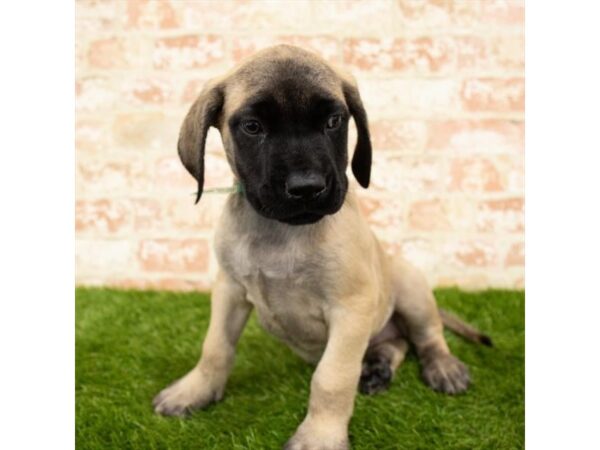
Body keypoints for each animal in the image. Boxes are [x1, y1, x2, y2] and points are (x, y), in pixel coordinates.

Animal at [152, 43, 490, 450]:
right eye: (253, 127)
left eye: (333, 122)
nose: (307, 187)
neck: (281, 233)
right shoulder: (229, 291)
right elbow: (215, 347)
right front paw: (194, 391)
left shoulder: (351, 309)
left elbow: (332, 377)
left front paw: (320, 436)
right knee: (397, 343)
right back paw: (377, 368)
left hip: (409, 284)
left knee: (427, 336)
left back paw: (442, 366)